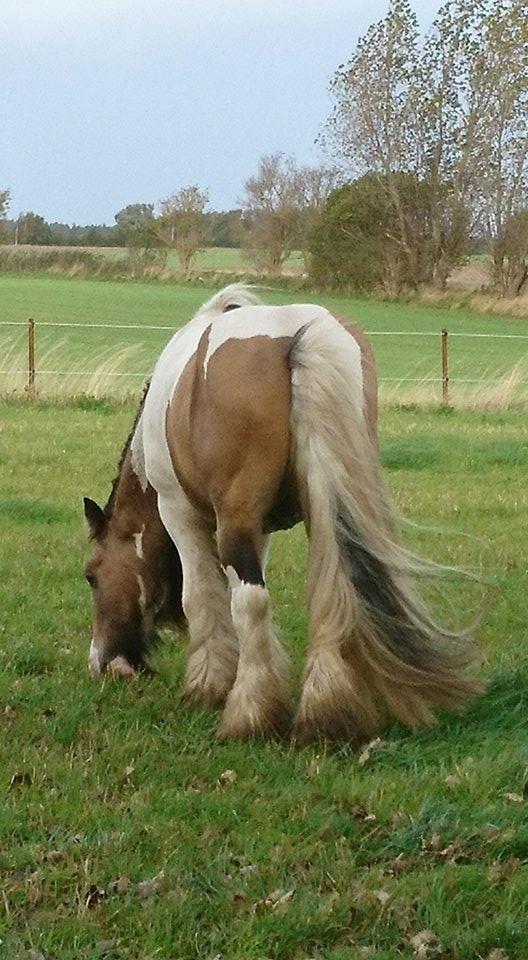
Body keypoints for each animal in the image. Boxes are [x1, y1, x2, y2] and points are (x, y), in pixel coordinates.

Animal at [82, 284, 478, 744]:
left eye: (92, 576)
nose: (102, 663)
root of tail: (296, 336)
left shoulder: (182, 513)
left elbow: (204, 597)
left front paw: (209, 687)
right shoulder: (262, 530)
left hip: (237, 520)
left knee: (253, 601)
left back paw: (249, 716)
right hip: (328, 512)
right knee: (332, 592)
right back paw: (326, 715)